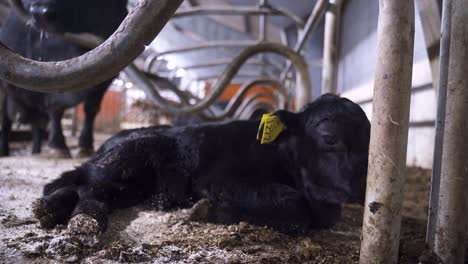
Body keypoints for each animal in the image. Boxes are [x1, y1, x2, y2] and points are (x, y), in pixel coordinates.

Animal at [0, 0, 128, 157]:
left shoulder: (106, 77)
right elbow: (55, 108)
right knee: (6, 123)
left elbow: (91, 108)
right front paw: (58, 145)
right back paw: (5, 151)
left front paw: (85, 145)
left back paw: (36, 150)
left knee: (36, 126)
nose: (40, 12)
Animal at [32, 94, 370, 234]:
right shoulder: (220, 180)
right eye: (330, 138)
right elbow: (294, 206)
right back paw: (81, 217)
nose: (363, 188)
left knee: (83, 186)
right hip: (127, 157)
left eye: (371, 141)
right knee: (90, 188)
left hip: (130, 182)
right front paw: (211, 210)